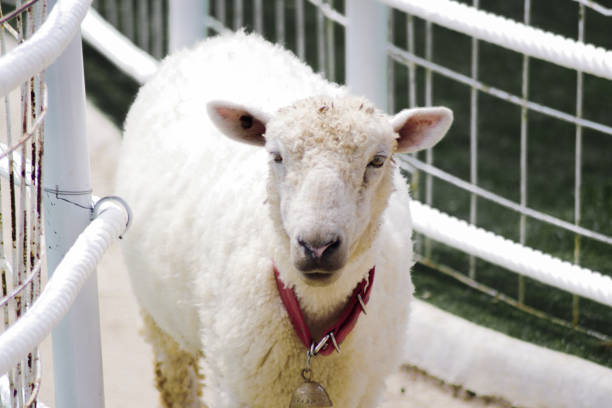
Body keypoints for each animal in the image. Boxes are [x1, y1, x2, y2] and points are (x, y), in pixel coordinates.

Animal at [113, 32, 450, 408]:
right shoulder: (237, 389)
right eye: (276, 156)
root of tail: (226, 39)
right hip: (160, 318)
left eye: (377, 161)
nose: (317, 247)